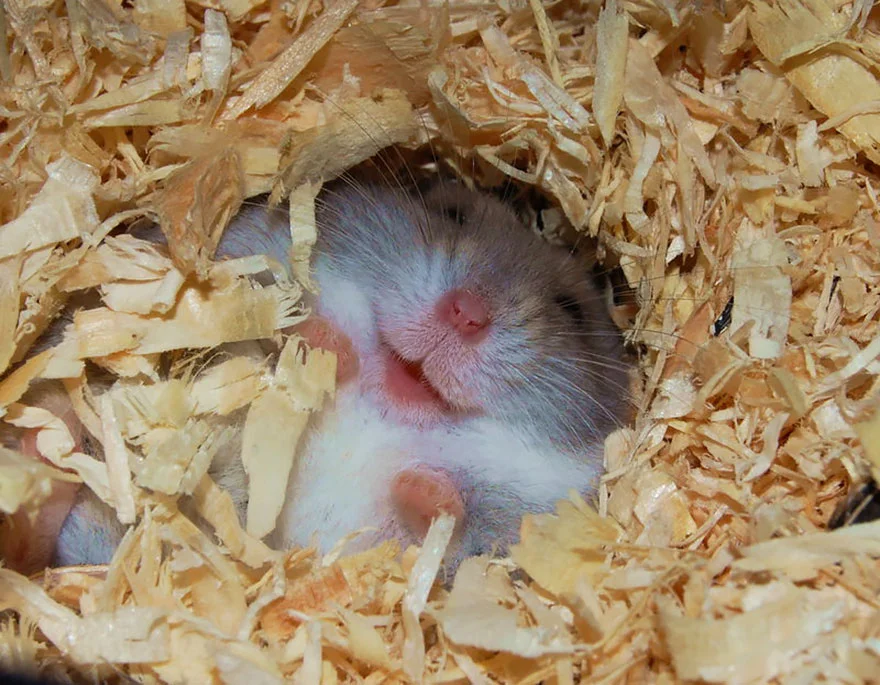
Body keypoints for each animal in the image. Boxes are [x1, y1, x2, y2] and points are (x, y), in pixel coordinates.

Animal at [4, 178, 631, 573]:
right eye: (448, 212)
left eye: (573, 310)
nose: (466, 313)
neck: (392, 409)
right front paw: (326, 345)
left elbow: (453, 525)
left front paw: (426, 490)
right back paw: (45, 446)